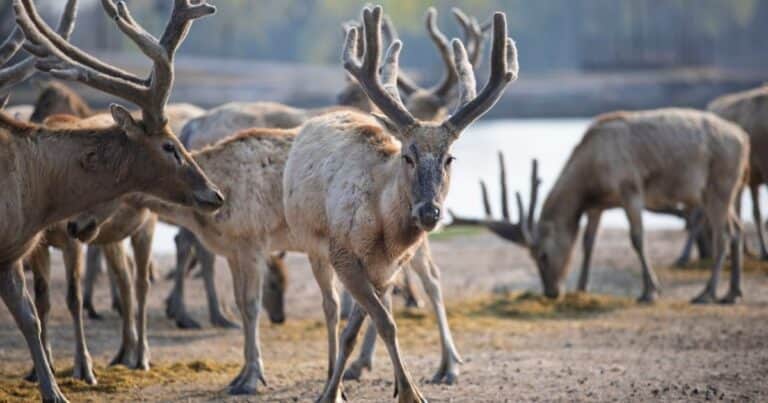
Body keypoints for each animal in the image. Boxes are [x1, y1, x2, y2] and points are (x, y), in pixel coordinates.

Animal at [5, 1, 221, 400]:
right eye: (170, 146)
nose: (215, 193)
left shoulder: (51, 243)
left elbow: (69, 299)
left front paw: (81, 370)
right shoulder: (33, 245)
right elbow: (39, 306)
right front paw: (41, 372)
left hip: (139, 230)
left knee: (139, 283)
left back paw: (140, 355)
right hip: (107, 238)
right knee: (124, 280)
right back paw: (124, 351)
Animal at [282, 6, 518, 402]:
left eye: (449, 158)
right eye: (408, 155)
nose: (429, 211)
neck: (385, 228)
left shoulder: (385, 268)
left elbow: (369, 325)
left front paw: (401, 386)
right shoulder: (344, 255)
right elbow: (380, 323)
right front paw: (344, 392)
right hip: (314, 246)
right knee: (330, 308)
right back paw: (335, 377)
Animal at [451, 108, 748, 305]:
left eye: (543, 255)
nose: (551, 292)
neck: (590, 178)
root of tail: (744, 139)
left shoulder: (630, 188)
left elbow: (637, 238)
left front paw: (650, 291)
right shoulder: (598, 205)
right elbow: (588, 242)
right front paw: (582, 288)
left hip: (720, 183)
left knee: (723, 234)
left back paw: (707, 293)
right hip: (722, 190)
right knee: (737, 229)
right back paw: (732, 292)